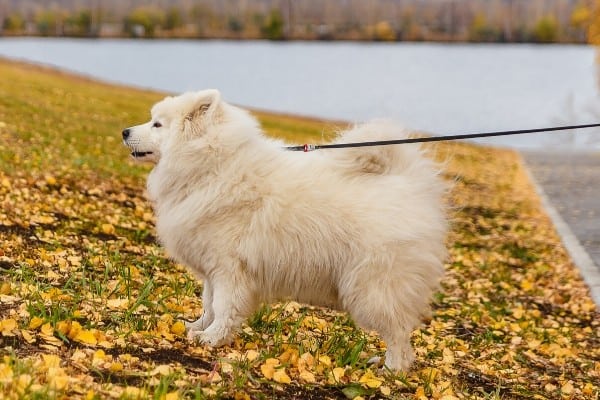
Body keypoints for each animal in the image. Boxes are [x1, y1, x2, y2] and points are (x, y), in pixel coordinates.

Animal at [122, 90, 448, 372]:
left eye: (157, 124)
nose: (125, 131)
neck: (213, 166)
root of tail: (410, 185)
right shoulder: (213, 269)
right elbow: (209, 304)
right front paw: (197, 328)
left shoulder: (230, 269)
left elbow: (224, 306)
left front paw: (212, 339)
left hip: (374, 288)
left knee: (398, 334)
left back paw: (391, 370)